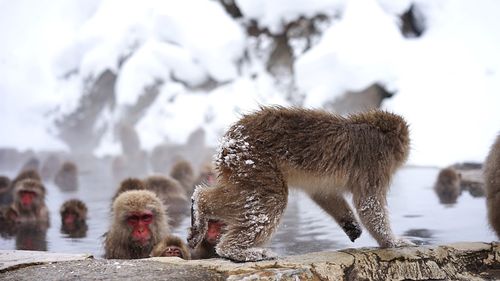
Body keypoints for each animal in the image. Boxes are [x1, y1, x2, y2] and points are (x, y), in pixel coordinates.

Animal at [189, 106, 412, 262]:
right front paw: (392, 242)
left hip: (243, 167)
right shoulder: (375, 164)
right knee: (271, 201)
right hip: (255, 161)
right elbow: (369, 204)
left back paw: (200, 205)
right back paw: (236, 250)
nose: (403, 154)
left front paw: (351, 225)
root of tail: (228, 142)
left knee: (243, 196)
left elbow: (323, 193)